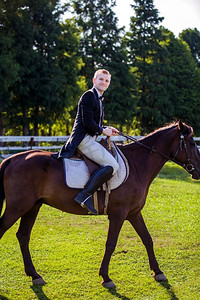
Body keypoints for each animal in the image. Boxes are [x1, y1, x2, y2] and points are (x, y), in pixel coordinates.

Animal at [0, 120, 200, 288]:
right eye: (191, 144)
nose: (198, 171)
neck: (137, 165)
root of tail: (12, 159)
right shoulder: (118, 214)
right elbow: (111, 244)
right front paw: (106, 277)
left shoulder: (134, 213)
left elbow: (147, 239)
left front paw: (158, 272)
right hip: (17, 207)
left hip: (32, 206)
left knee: (23, 236)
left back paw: (35, 275)